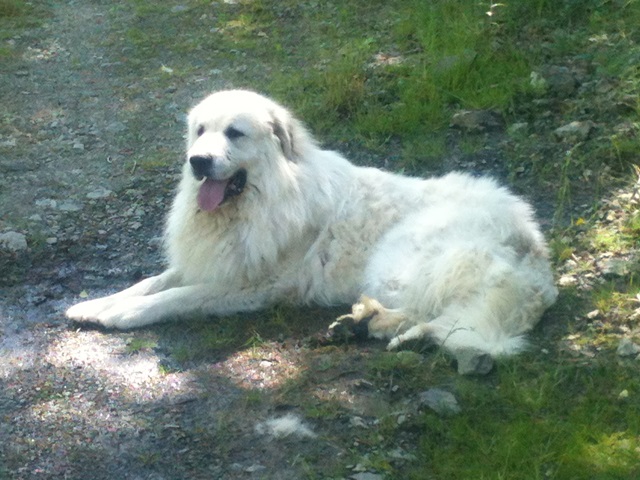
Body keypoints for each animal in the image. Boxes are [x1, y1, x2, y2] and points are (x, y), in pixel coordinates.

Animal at [63, 91, 556, 356]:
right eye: (200, 130)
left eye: (235, 133)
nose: (197, 161)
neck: (263, 198)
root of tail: (534, 249)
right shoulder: (215, 259)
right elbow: (152, 282)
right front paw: (97, 304)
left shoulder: (253, 285)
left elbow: (178, 296)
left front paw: (122, 315)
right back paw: (365, 323)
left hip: (402, 259)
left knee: (439, 313)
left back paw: (392, 330)